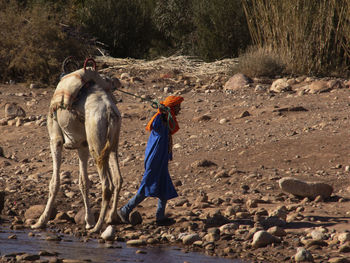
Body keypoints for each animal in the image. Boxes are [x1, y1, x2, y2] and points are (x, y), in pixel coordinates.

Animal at [32, 58, 123, 234]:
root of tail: (109, 113)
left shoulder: (55, 139)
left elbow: (54, 182)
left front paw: (40, 221)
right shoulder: (82, 145)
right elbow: (83, 182)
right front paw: (88, 220)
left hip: (96, 143)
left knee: (107, 185)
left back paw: (97, 228)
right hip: (111, 143)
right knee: (117, 179)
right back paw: (110, 218)